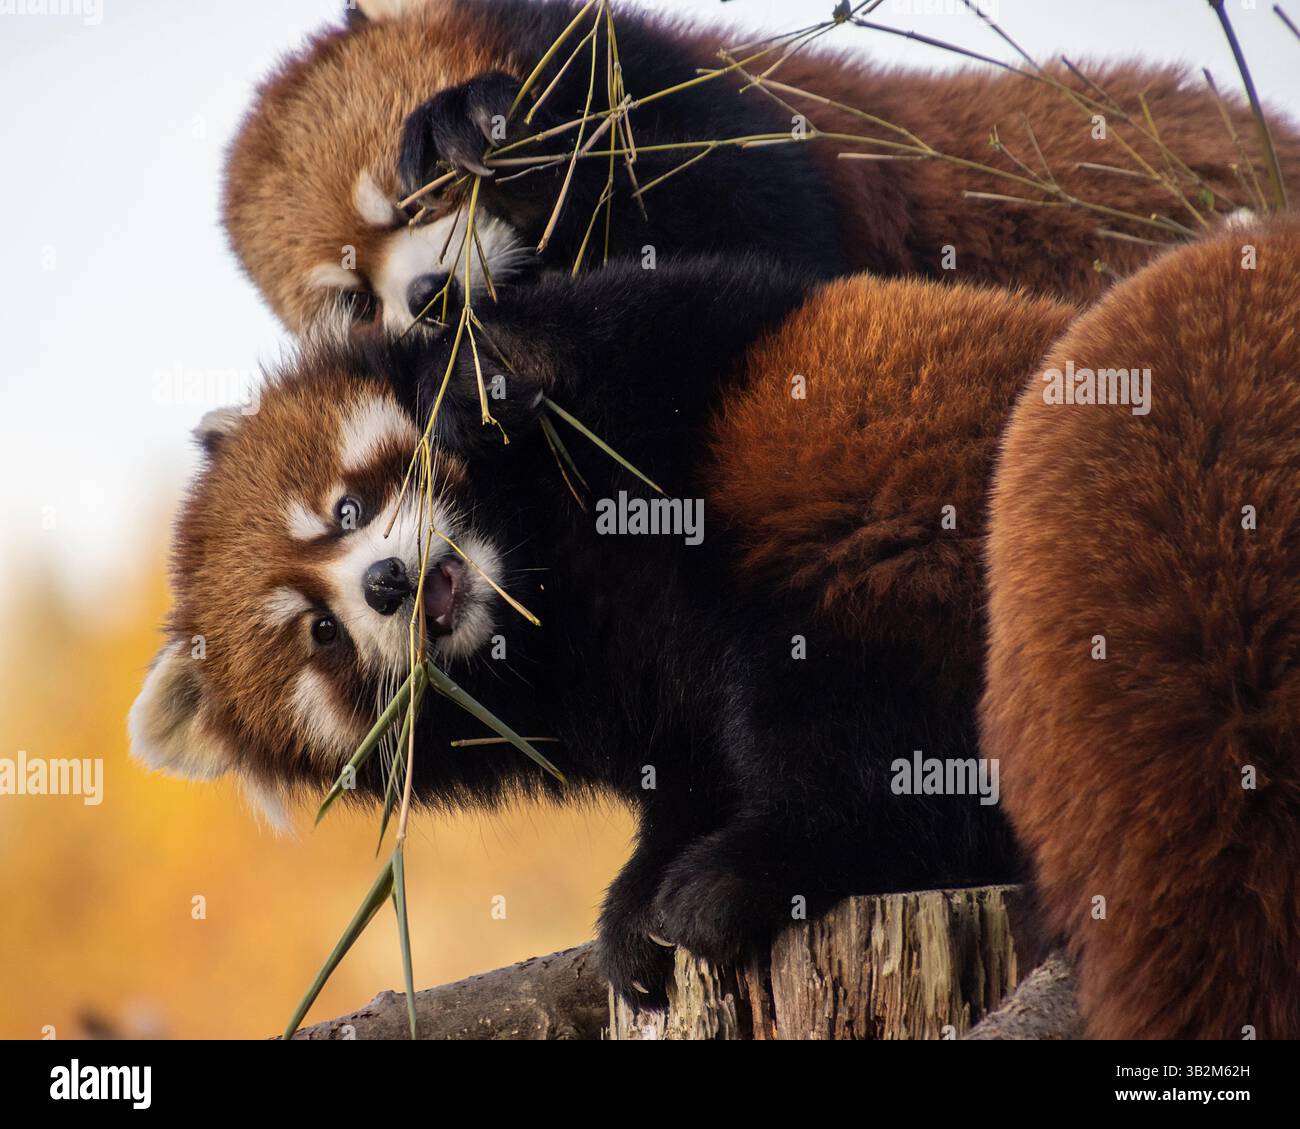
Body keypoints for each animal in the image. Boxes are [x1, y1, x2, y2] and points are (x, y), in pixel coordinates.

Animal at [223, 0, 1300, 333]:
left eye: (420, 204)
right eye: (354, 298)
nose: (429, 297)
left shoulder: (708, 105)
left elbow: (769, 233)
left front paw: (485, 126)